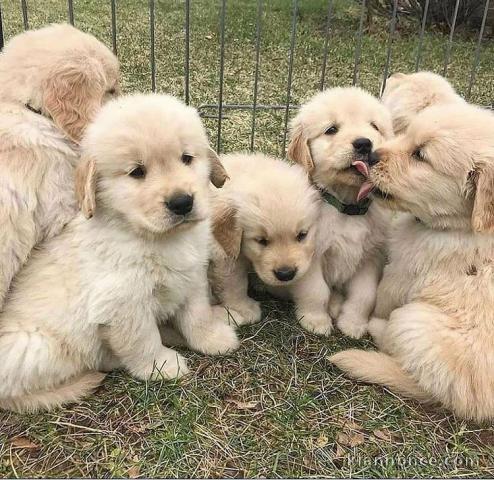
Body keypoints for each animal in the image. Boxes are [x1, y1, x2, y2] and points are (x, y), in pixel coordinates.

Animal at [0, 94, 239, 412]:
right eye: (137, 172)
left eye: (187, 158)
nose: (182, 202)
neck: (154, 238)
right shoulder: (123, 304)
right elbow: (141, 340)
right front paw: (161, 366)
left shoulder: (192, 278)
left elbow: (196, 315)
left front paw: (212, 338)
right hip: (37, 347)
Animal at [209, 152, 328, 332]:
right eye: (261, 240)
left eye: (302, 235)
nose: (286, 274)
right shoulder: (225, 255)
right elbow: (235, 283)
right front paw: (244, 309)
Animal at [288, 88, 392, 340]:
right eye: (331, 129)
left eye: (374, 127)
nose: (364, 143)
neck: (348, 208)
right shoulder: (310, 255)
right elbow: (317, 291)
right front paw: (315, 321)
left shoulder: (371, 256)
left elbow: (365, 295)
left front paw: (353, 324)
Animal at [330, 103, 494, 422]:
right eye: (407, 135)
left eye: (420, 155)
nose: (371, 155)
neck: (457, 226)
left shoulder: (404, 270)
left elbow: (381, 296)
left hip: (414, 319)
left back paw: (378, 329)